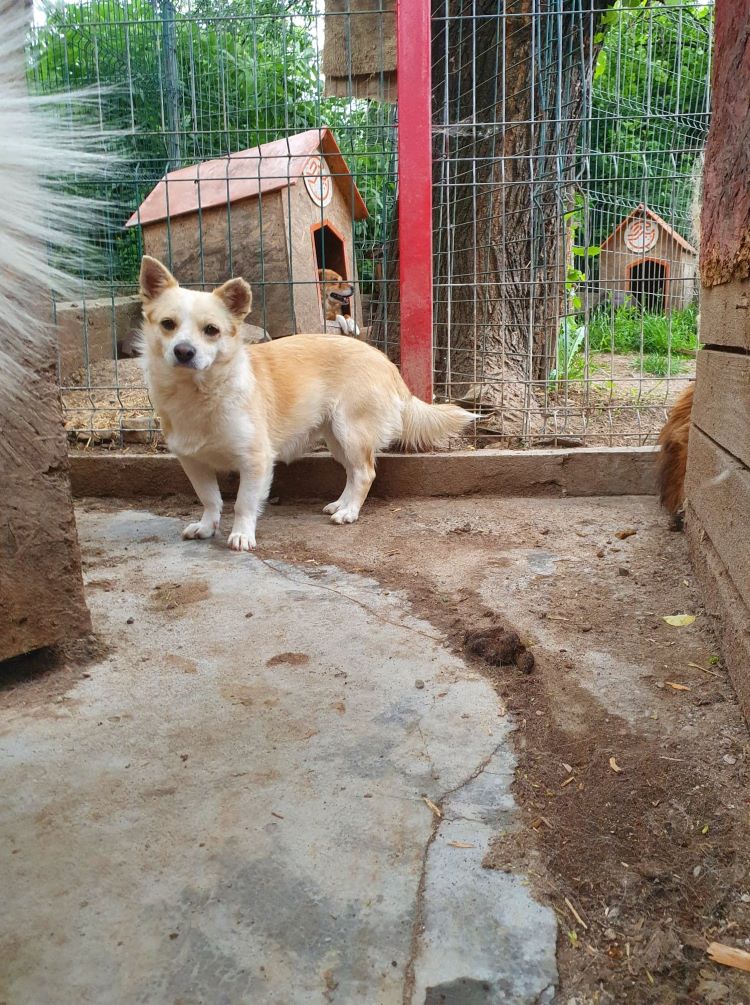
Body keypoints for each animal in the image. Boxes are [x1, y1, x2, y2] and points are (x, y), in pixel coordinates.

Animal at [137, 253, 470, 550]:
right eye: (168, 324)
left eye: (211, 330)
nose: (183, 351)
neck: (199, 392)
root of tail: (385, 360)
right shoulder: (192, 462)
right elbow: (210, 499)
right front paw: (207, 527)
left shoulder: (256, 461)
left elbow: (243, 503)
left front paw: (242, 535)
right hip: (338, 437)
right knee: (353, 472)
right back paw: (340, 505)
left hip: (351, 432)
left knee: (365, 473)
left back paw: (349, 513)